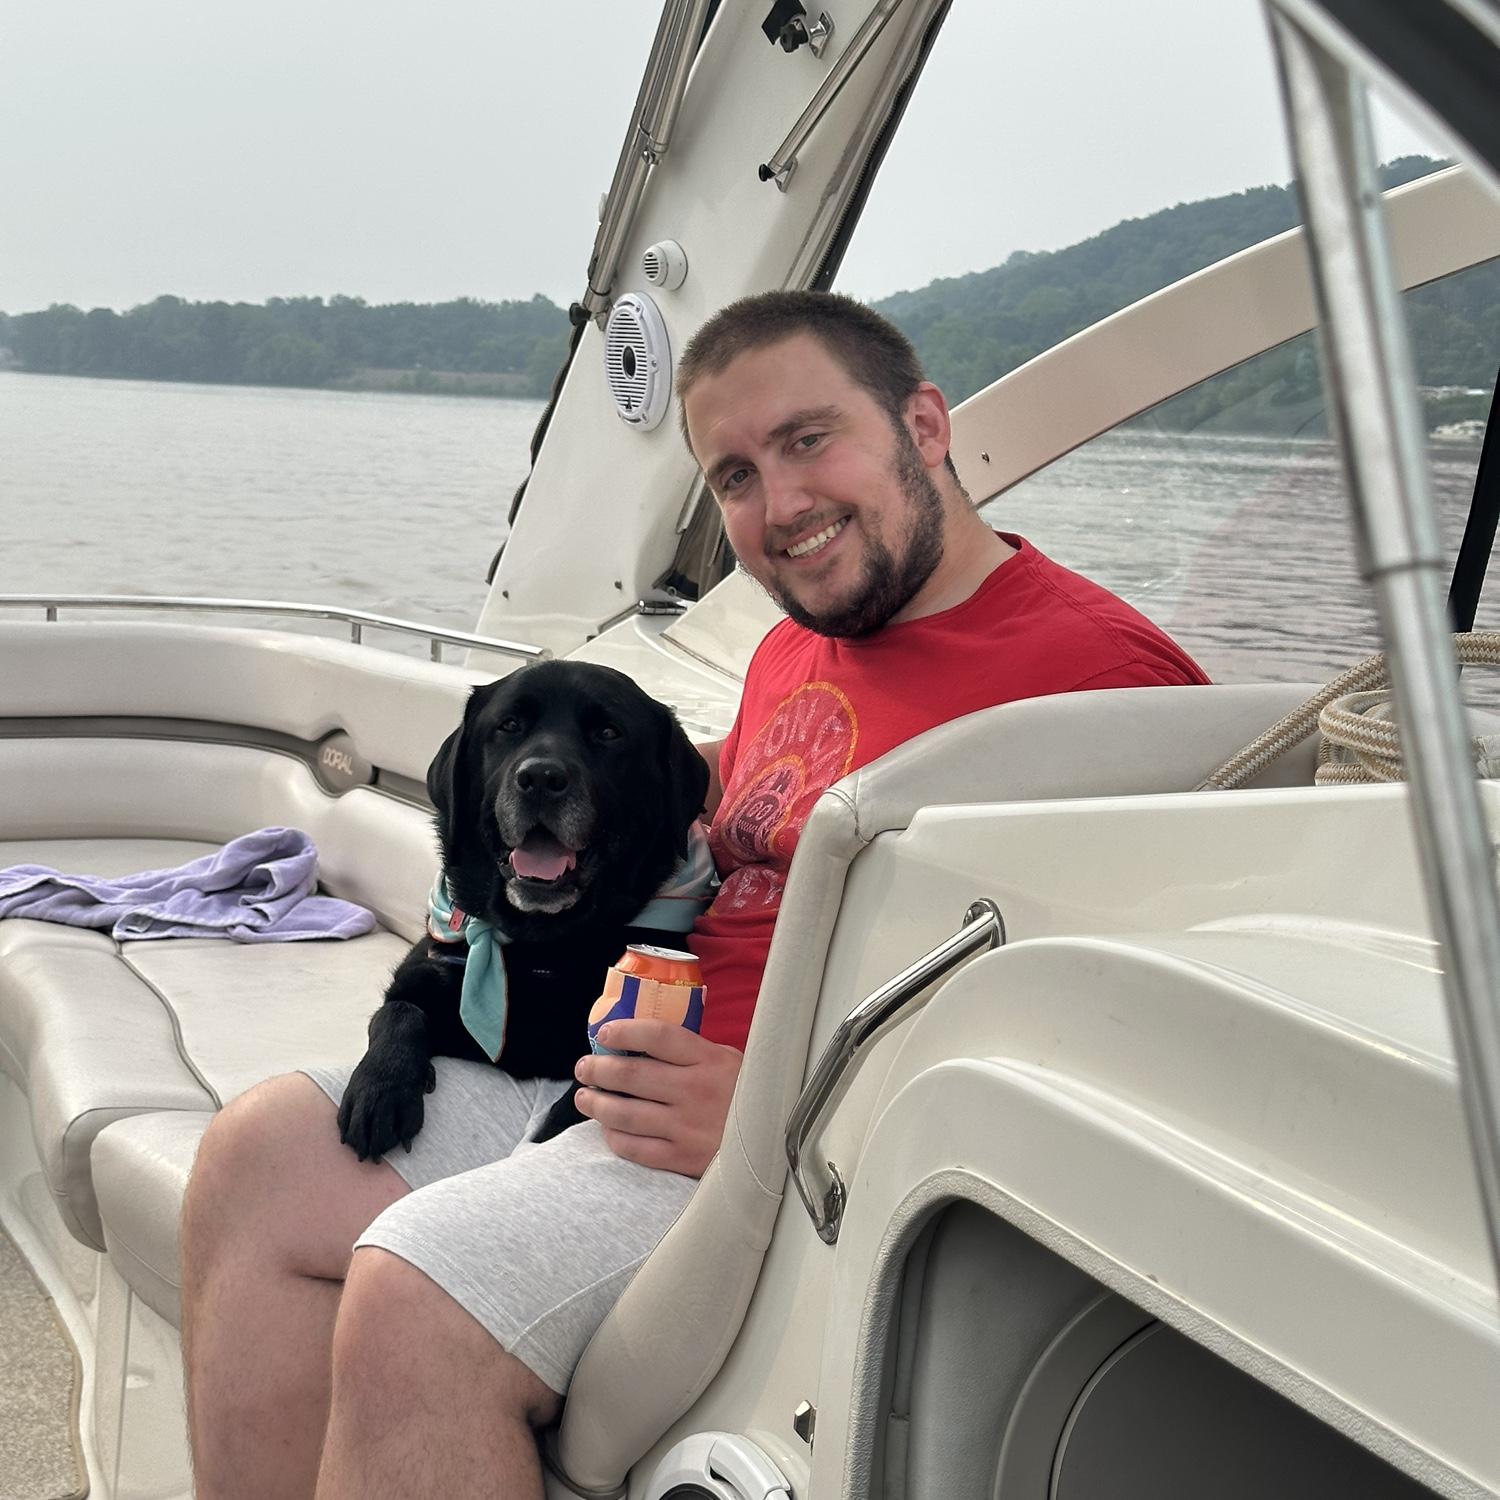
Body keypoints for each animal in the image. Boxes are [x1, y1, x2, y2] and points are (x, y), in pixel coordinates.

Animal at [337, 659, 711, 1161]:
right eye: (509, 726)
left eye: (609, 732)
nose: (540, 778)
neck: (541, 946)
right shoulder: (426, 973)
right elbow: (397, 1011)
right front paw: (380, 1090)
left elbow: (588, 1089)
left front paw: (548, 1133)